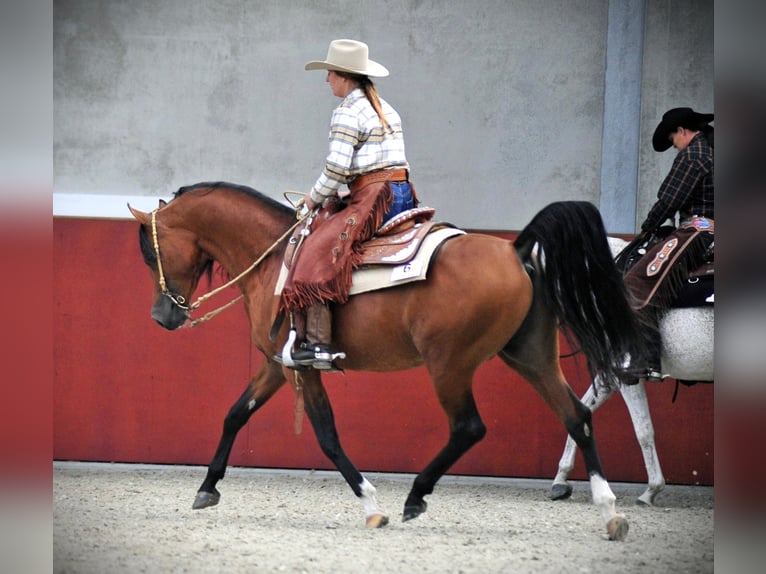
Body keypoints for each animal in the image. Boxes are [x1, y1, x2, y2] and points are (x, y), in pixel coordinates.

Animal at [129, 182, 644, 544]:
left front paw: (371, 504)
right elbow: (236, 414)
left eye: (152, 252)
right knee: (577, 416)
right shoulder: (279, 365)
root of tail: (514, 249)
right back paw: (609, 510)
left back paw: (416, 495)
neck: (273, 260)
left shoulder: (302, 368)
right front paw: (207, 487)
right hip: (531, 357)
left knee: (469, 427)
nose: (161, 316)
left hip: (449, 365)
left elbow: (327, 435)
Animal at [552, 236, 712, 506]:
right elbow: (582, 410)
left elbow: (644, 430)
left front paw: (651, 491)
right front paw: (560, 481)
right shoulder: (611, 376)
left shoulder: (628, 374)